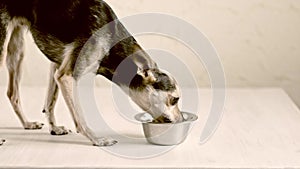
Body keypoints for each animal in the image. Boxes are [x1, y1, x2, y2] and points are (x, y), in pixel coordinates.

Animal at [0, 0, 183, 146]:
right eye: (175, 99)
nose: (181, 120)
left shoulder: (56, 67)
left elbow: (50, 102)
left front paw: (54, 128)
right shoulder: (65, 76)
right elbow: (80, 117)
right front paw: (97, 139)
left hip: (17, 50)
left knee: (12, 93)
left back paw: (27, 123)